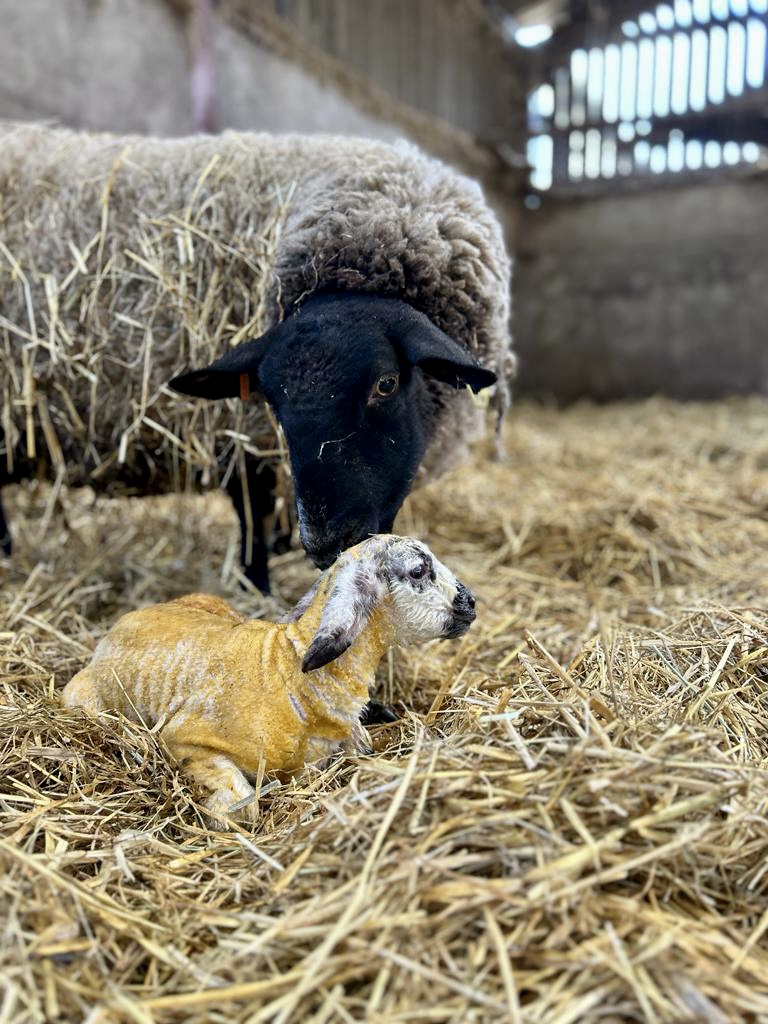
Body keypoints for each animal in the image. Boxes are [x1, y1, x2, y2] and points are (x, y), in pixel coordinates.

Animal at [0, 123, 514, 592]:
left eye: (386, 384)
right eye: (272, 398)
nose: (327, 546)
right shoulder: (242, 439)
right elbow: (254, 509)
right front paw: (257, 583)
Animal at [61, 534, 477, 825]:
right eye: (418, 571)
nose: (471, 603)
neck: (293, 673)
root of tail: (132, 615)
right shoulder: (182, 737)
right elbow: (240, 807)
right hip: (81, 698)